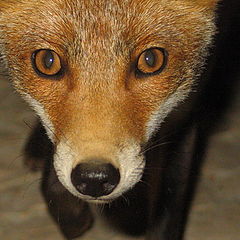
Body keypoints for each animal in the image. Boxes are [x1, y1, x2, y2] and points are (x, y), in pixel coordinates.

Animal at [0, 0, 220, 239]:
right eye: (47, 62)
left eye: (151, 60)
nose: (94, 178)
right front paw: (70, 215)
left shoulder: (186, 110)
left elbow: (168, 210)